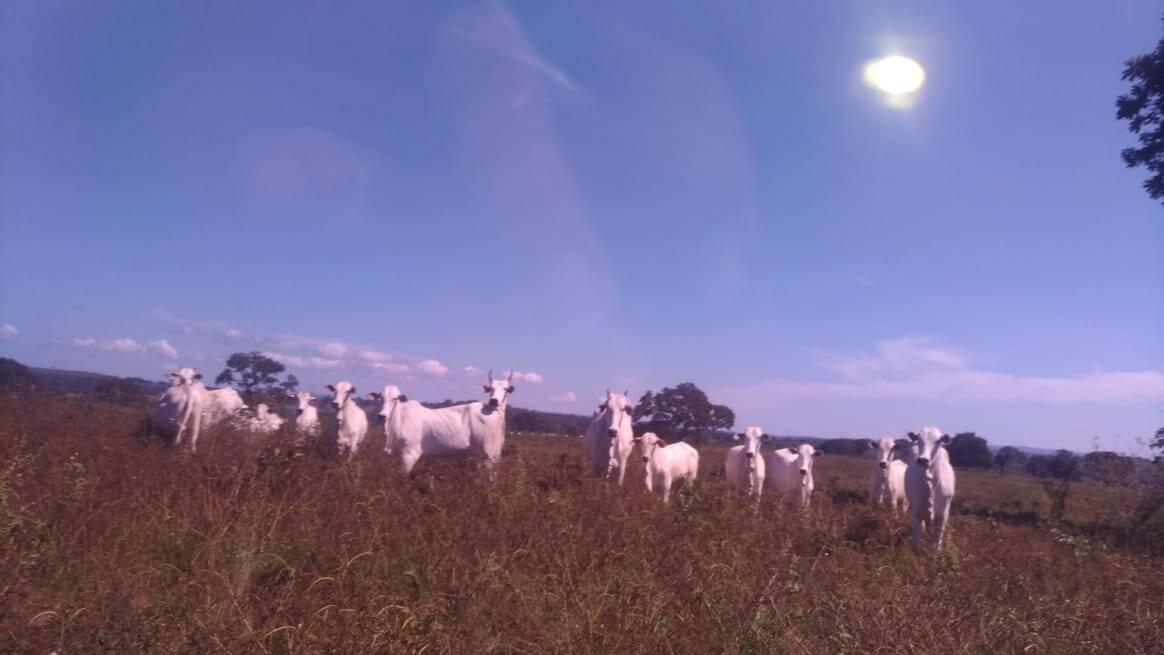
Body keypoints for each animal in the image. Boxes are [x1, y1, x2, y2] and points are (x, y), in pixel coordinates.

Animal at [370, 372, 516, 474]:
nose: (382, 416)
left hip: (489, 454)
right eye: (380, 398)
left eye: (395, 399)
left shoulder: (409, 454)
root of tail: (494, 409)